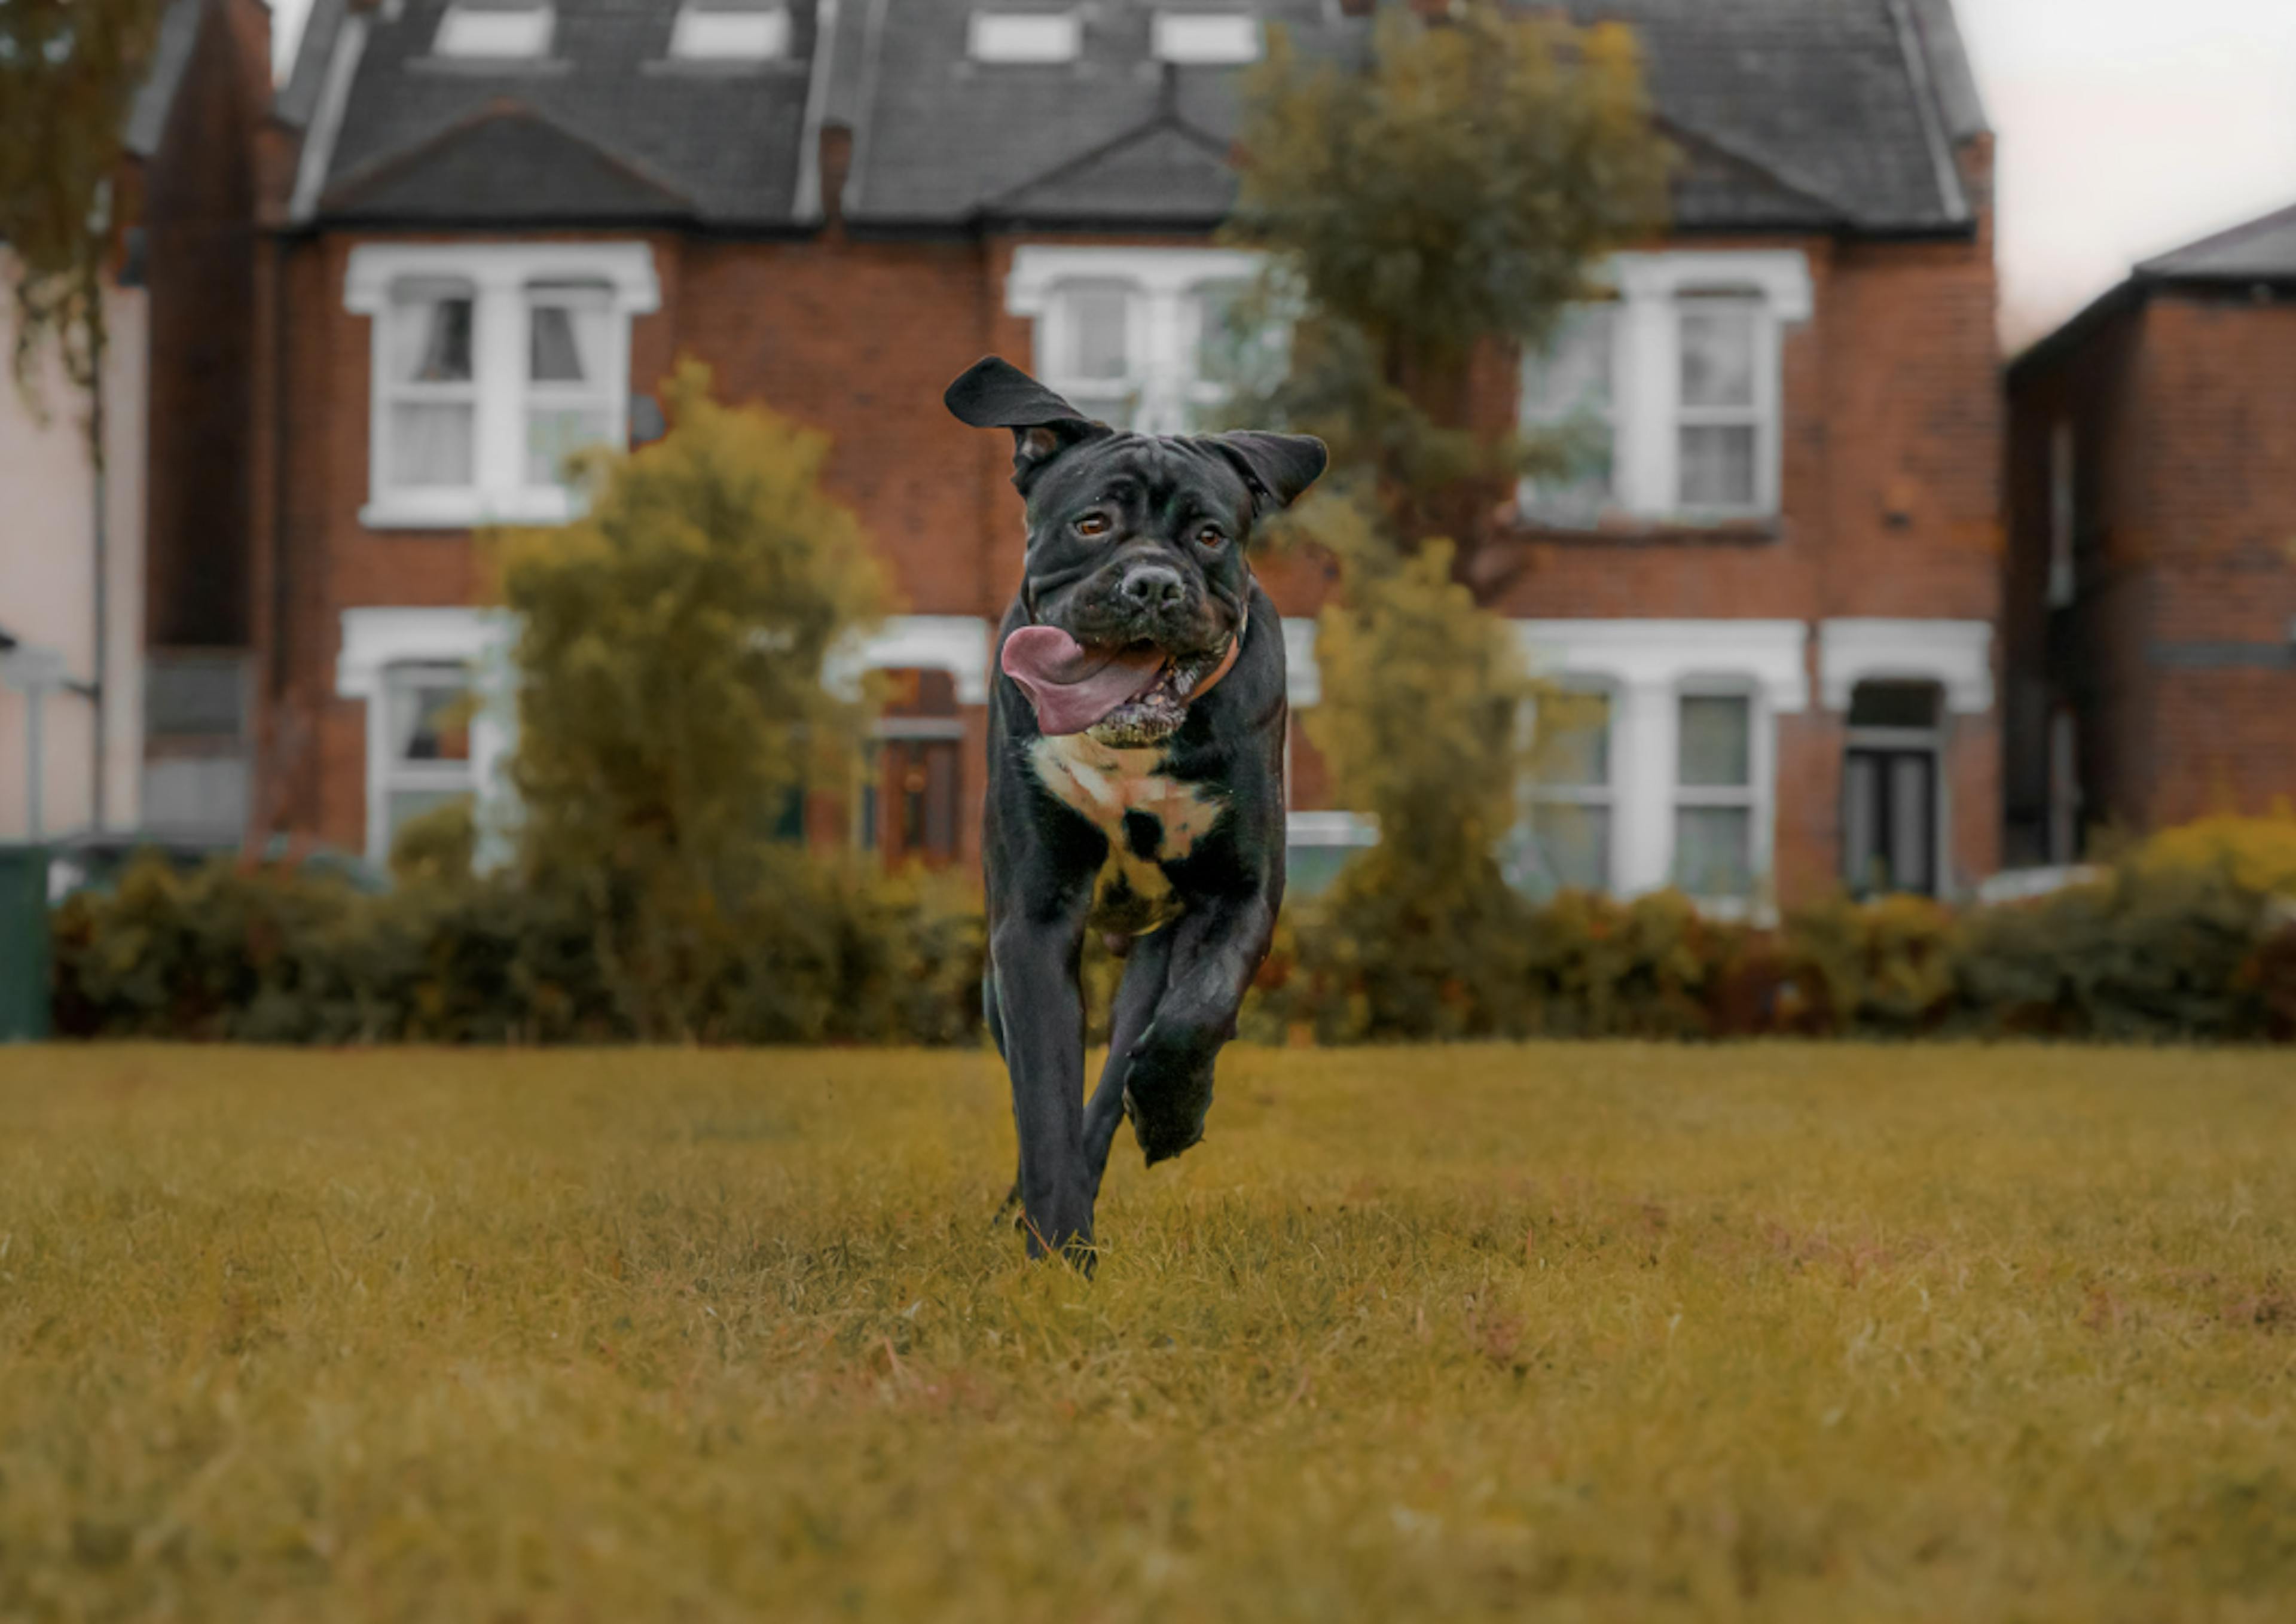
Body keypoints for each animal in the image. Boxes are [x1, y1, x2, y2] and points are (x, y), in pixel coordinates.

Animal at [936, 362, 1332, 1268]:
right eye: (1092, 524)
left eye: (1211, 535)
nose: (1151, 583)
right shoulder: (1031, 922)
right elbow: (1044, 1097)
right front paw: (1058, 1251)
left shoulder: (1239, 892)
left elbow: (1197, 1014)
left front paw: (1172, 1113)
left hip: (1154, 951)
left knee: (1128, 1055)